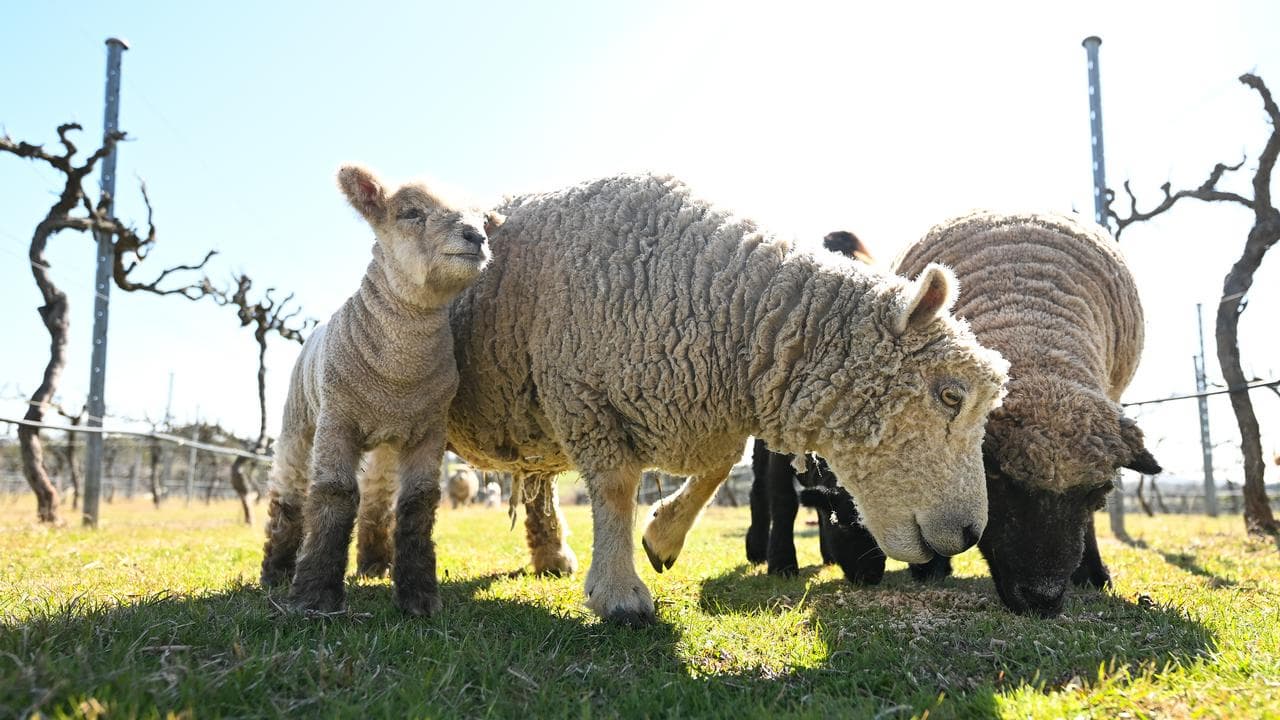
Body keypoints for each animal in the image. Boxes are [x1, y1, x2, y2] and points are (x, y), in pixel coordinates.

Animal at [258, 165, 500, 616]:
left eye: (480, 217)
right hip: (297, 422)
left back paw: (373, 565)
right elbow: (334, 494)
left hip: (387, 443)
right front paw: (316, 596)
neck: (397, 376)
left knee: (375, 498)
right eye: (410, 212)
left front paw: (419, 598)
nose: (476, 236)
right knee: (289, 494)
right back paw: (276, 571)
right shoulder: (337, 421)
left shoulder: (429, 430)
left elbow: (417, 503)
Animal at [385, 173, 1008, 626]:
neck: (712, 295)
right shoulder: (585, 396)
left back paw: (551, 557)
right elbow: (615, 490)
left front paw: (662, 537)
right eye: (950, 395)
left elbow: (719, 467)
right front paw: (619, 594)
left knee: (539, 490)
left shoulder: (699, 405)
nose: (971, 534)